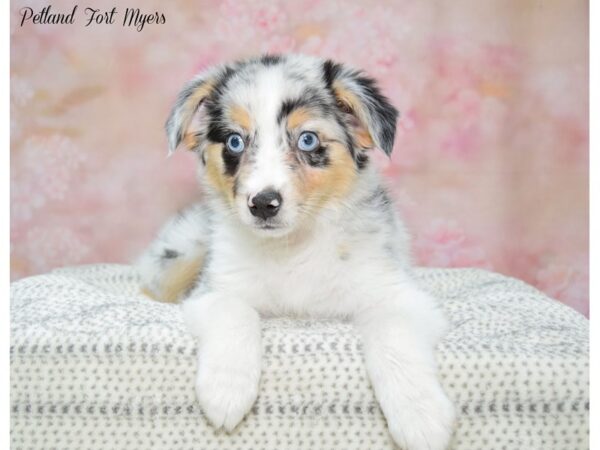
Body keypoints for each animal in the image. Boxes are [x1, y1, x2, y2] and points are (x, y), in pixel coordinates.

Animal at [136, 53, 454, 450]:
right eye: (235, 142)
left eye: (307, 139)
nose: (263, 204)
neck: (292, 245)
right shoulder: (213, 290)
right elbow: (235, 312)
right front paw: (226, 390)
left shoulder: (397, 293)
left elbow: (394, 335)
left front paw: (420, 416)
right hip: (180, 256)